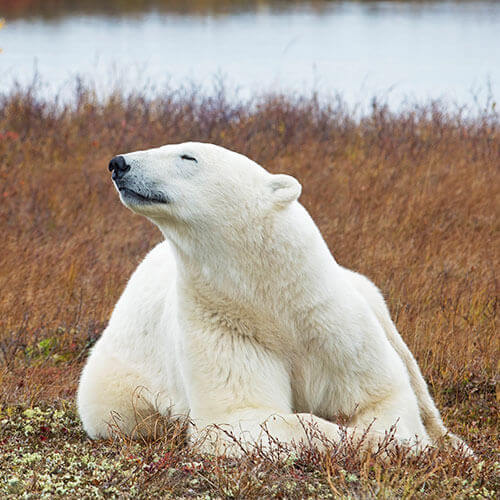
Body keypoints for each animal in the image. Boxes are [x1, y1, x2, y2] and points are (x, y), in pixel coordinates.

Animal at [76, 142, 470, 458]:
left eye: (188, 156)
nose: (119, 163)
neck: (276, 300)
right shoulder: (224, 323)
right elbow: (242, 416)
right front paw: (363, 439)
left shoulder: (336, 323)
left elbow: (385, 397)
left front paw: (403, 440)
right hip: (116, 381)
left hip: (369, 295)